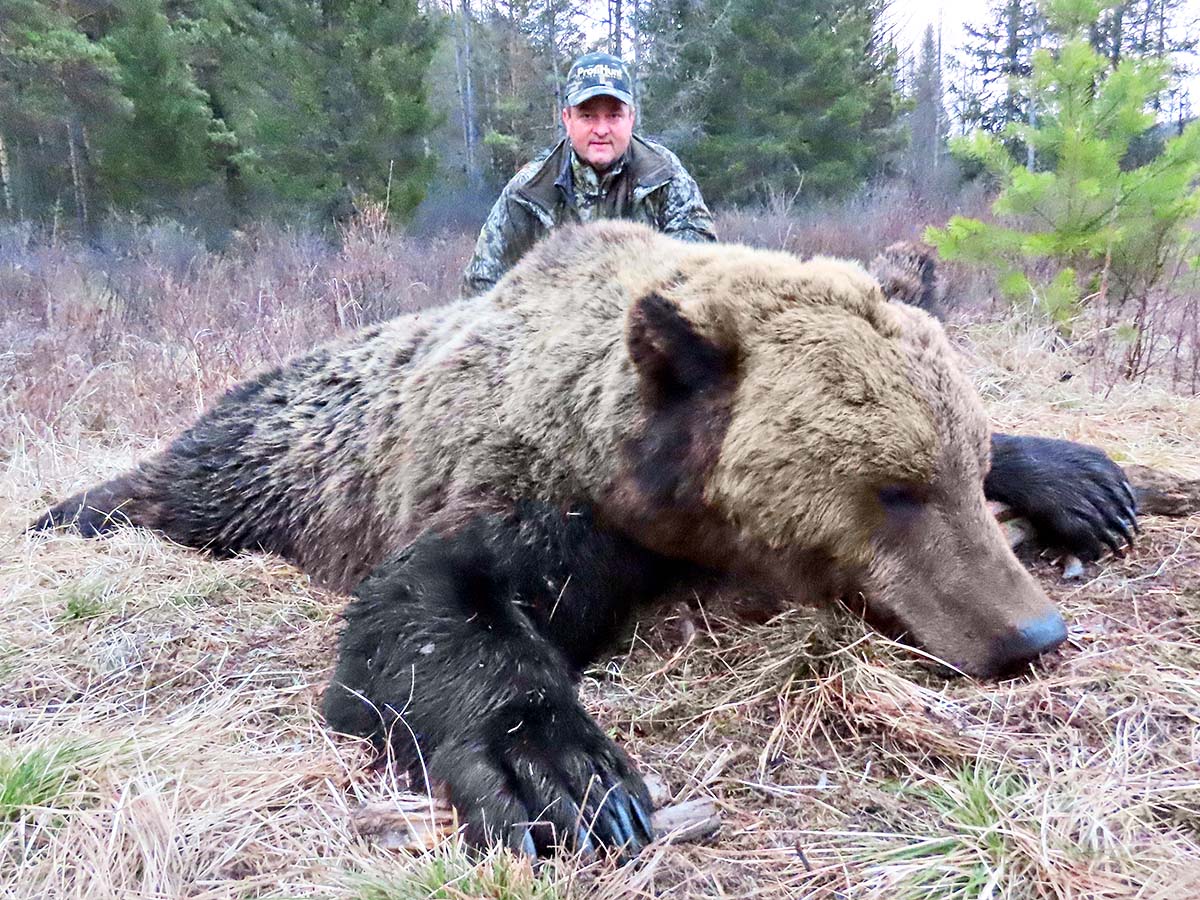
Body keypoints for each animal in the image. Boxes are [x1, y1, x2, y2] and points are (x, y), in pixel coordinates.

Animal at [33, 221, 1136, 858]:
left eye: (957, 465)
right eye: (892, 490)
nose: (1033, 635)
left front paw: (1079, 480)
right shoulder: (541, 493)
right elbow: (425, 602)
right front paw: (560, 772)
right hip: (265, 461)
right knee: (180, 484)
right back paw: (70, 510)